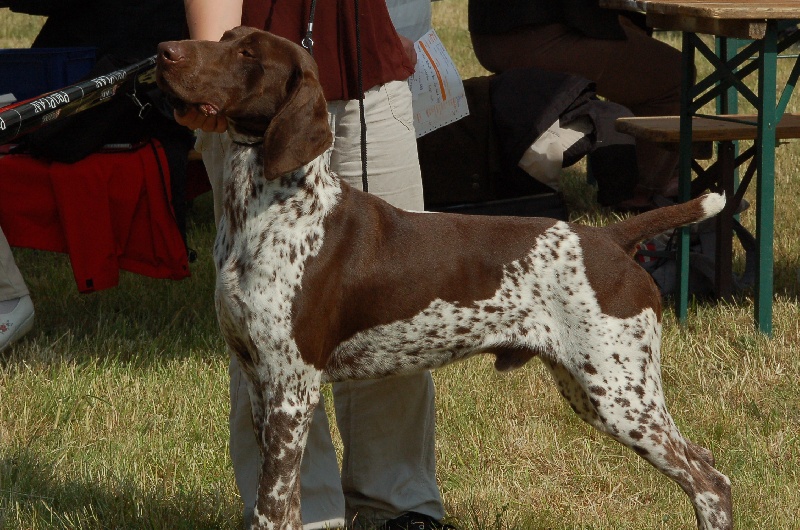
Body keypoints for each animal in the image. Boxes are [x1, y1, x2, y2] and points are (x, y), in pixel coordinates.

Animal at [155, 25, 732, 530]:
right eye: (224, 37)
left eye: (248, 54)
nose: (164, 52)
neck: (268, 210)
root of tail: (610, 238)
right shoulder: (260, 381)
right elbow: (284, 506)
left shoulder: (291, 391)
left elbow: (272, 508)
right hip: (593, 388)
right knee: (705, 466)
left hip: (618, 389)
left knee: (710, 480)